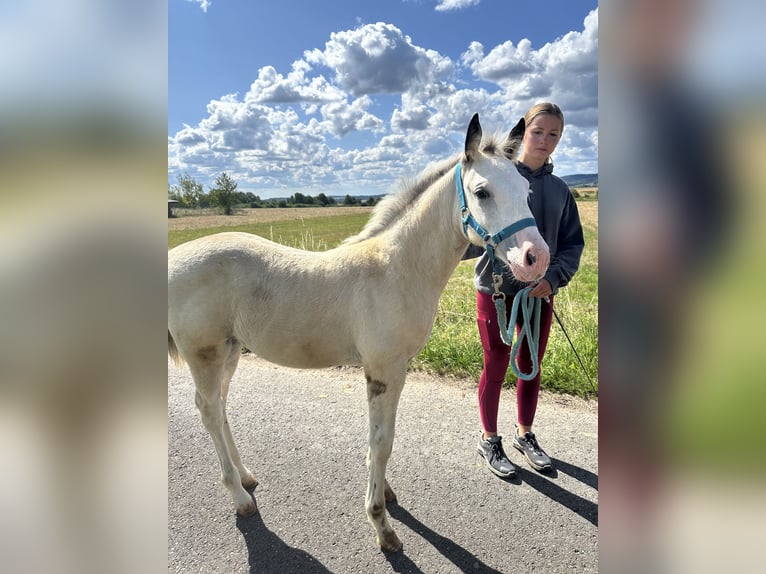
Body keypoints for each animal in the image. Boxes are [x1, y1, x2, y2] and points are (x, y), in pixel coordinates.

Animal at [167, 113, 550, 552]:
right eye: (482, 192)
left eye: (525, 189)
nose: (536, 259)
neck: (397, 268)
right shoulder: (384, 369)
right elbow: (381, 442)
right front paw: (382, 526)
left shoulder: (392, 371)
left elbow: (380, 438)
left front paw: (386, 495)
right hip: (205, 354)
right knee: (209, 410)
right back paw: (239, 497)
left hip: (230, 350)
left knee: (221, 407)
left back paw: (246, 477)